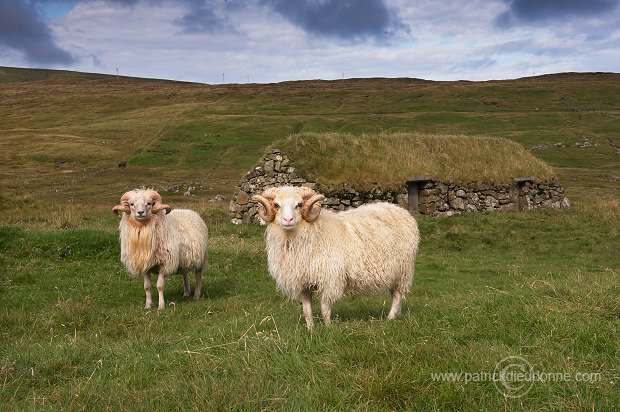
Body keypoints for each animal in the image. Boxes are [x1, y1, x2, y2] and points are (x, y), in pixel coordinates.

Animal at [253, 187, 422, 328]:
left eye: (299, 205)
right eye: (276, 205)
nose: (288, 220)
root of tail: (401, 210)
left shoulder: (329, 279)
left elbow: (324, 309)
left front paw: (328, 328)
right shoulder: (303, 282)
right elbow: (307, 310)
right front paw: (310, 330)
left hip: (403, 270)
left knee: (398, 295)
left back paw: (390, 318)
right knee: (396, 295)